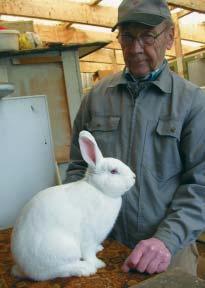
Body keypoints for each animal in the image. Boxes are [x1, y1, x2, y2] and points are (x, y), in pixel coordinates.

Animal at [11, 130, 136, 280]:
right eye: (113, 171)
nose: (134, 177)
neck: (98, 190)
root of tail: (23, 267)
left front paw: (99, 248)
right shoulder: (89, 237)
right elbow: (89, 253)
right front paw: (98, 263)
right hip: (63, 250)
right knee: (54, 271)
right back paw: (85, 269)